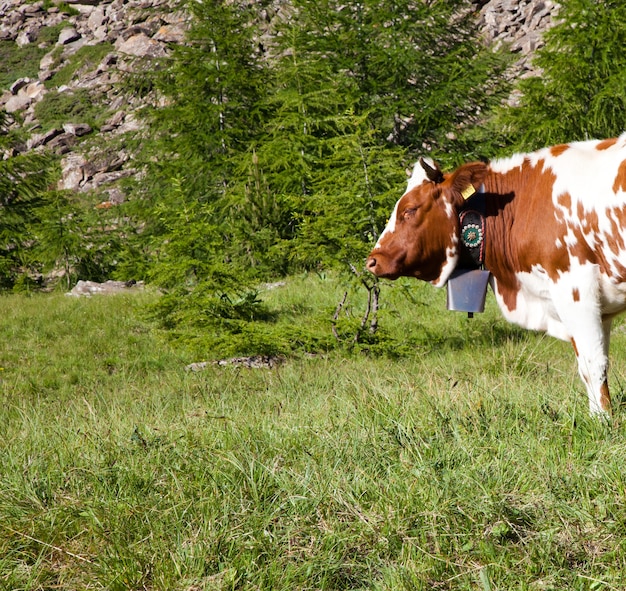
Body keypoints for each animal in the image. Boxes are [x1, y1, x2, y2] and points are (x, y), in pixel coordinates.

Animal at [364, 137, 624, 416]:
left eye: (410, 210)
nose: (373, 260)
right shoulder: (601, 308)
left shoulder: (574, 286)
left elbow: (591, 363)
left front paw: (602, 420)